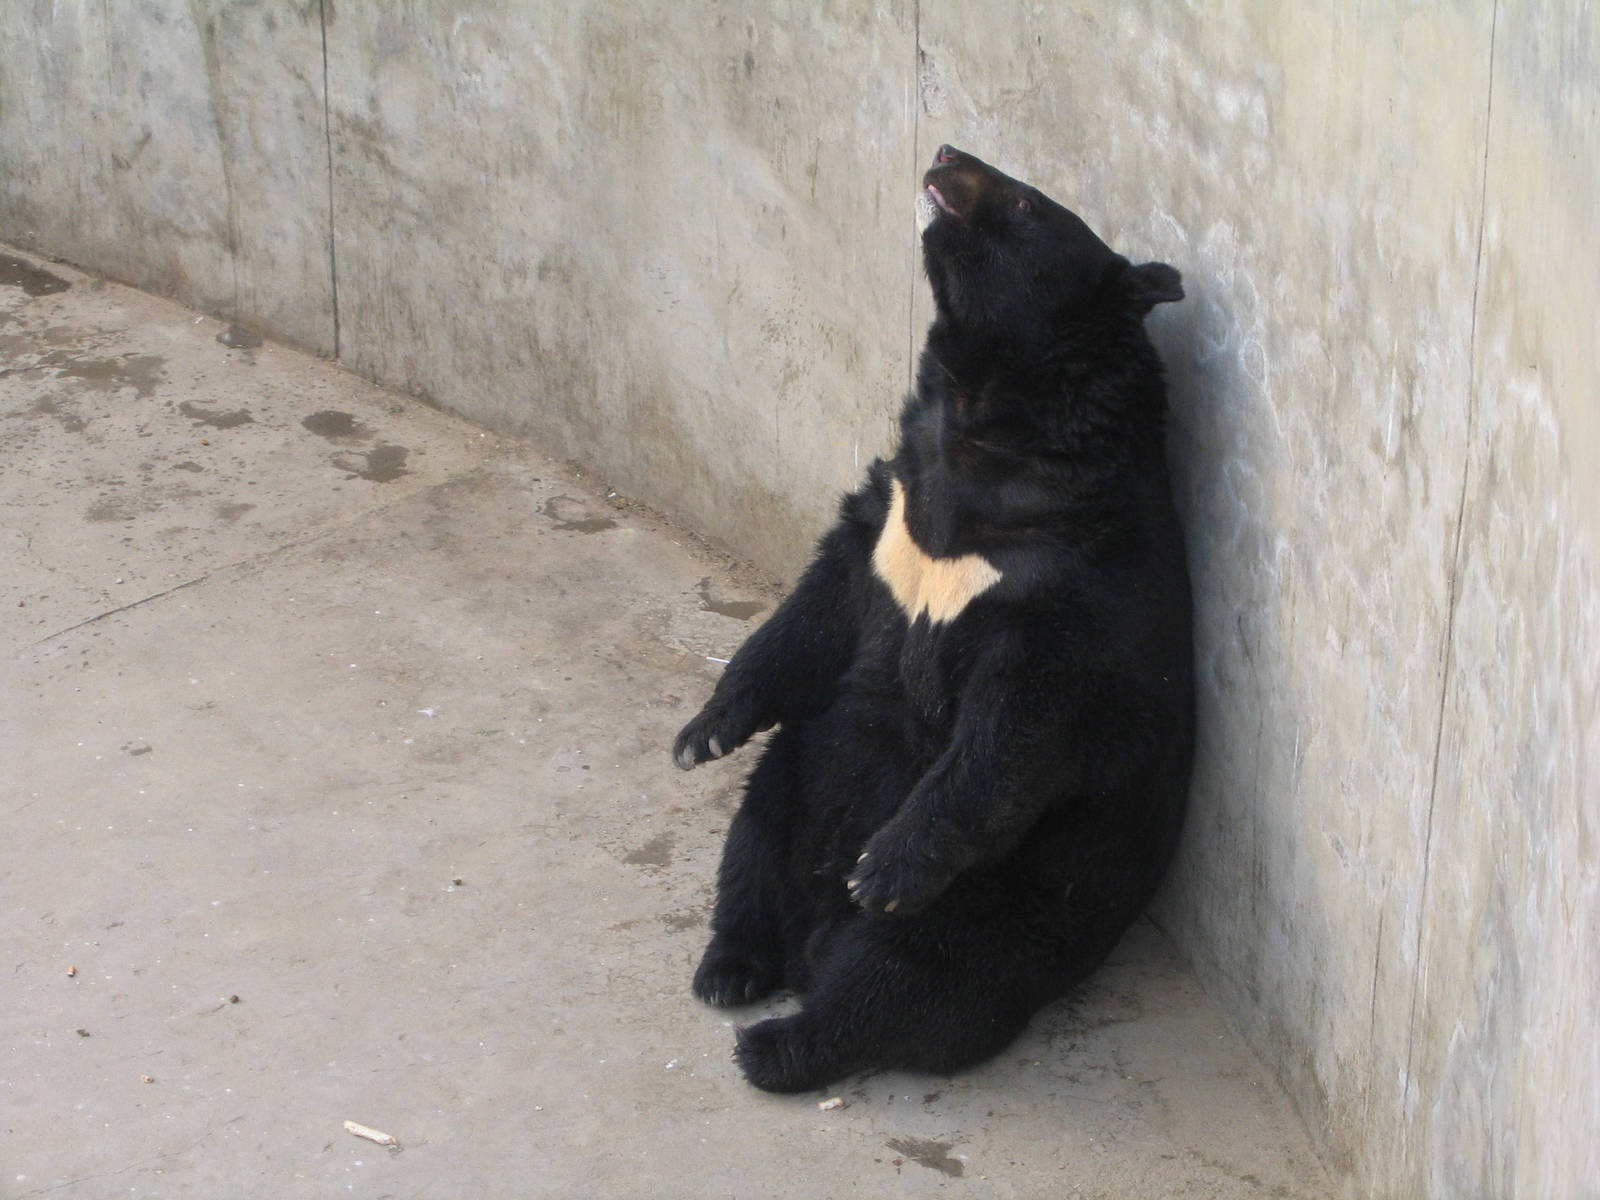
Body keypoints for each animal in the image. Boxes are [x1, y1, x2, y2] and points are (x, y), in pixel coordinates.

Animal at [673, 145, 1194, 1093]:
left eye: (1024, 205)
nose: (948, 153)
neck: (984, 431)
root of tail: (813, 940)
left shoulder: (1068, 578)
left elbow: (1021, 720)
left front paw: (886, 864)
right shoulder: (895, 512)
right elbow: (818, 604)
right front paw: (702, 732)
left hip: (1002, 900)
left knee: (910, 980)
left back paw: (781, 1038)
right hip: (799, 777)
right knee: (750, 850)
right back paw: (729, 966)